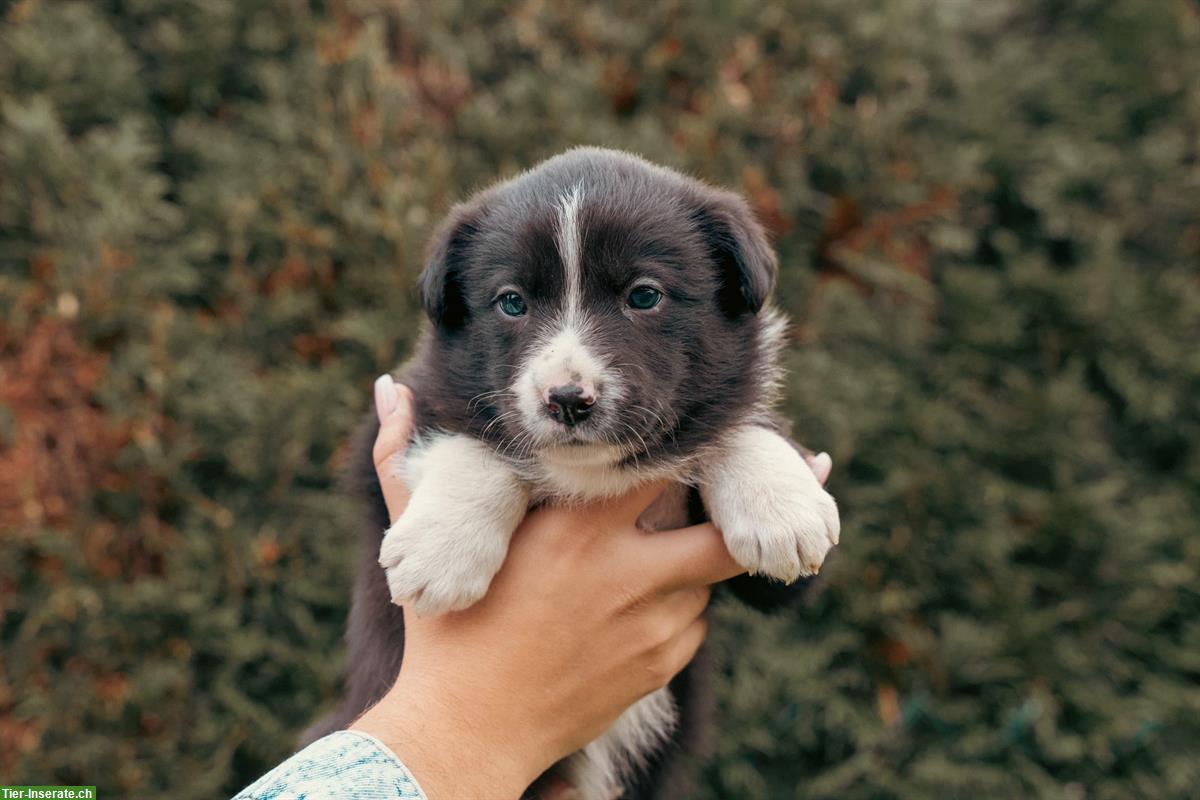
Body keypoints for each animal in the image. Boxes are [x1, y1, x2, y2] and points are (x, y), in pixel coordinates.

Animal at [304, 149, 840, 800]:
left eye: (644, 295)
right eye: (511, 302)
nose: (566, 400)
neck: (591, 474)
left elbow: (738, 425)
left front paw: (782, 512)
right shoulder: (392, 419)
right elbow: (468, 443)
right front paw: (441, 551)